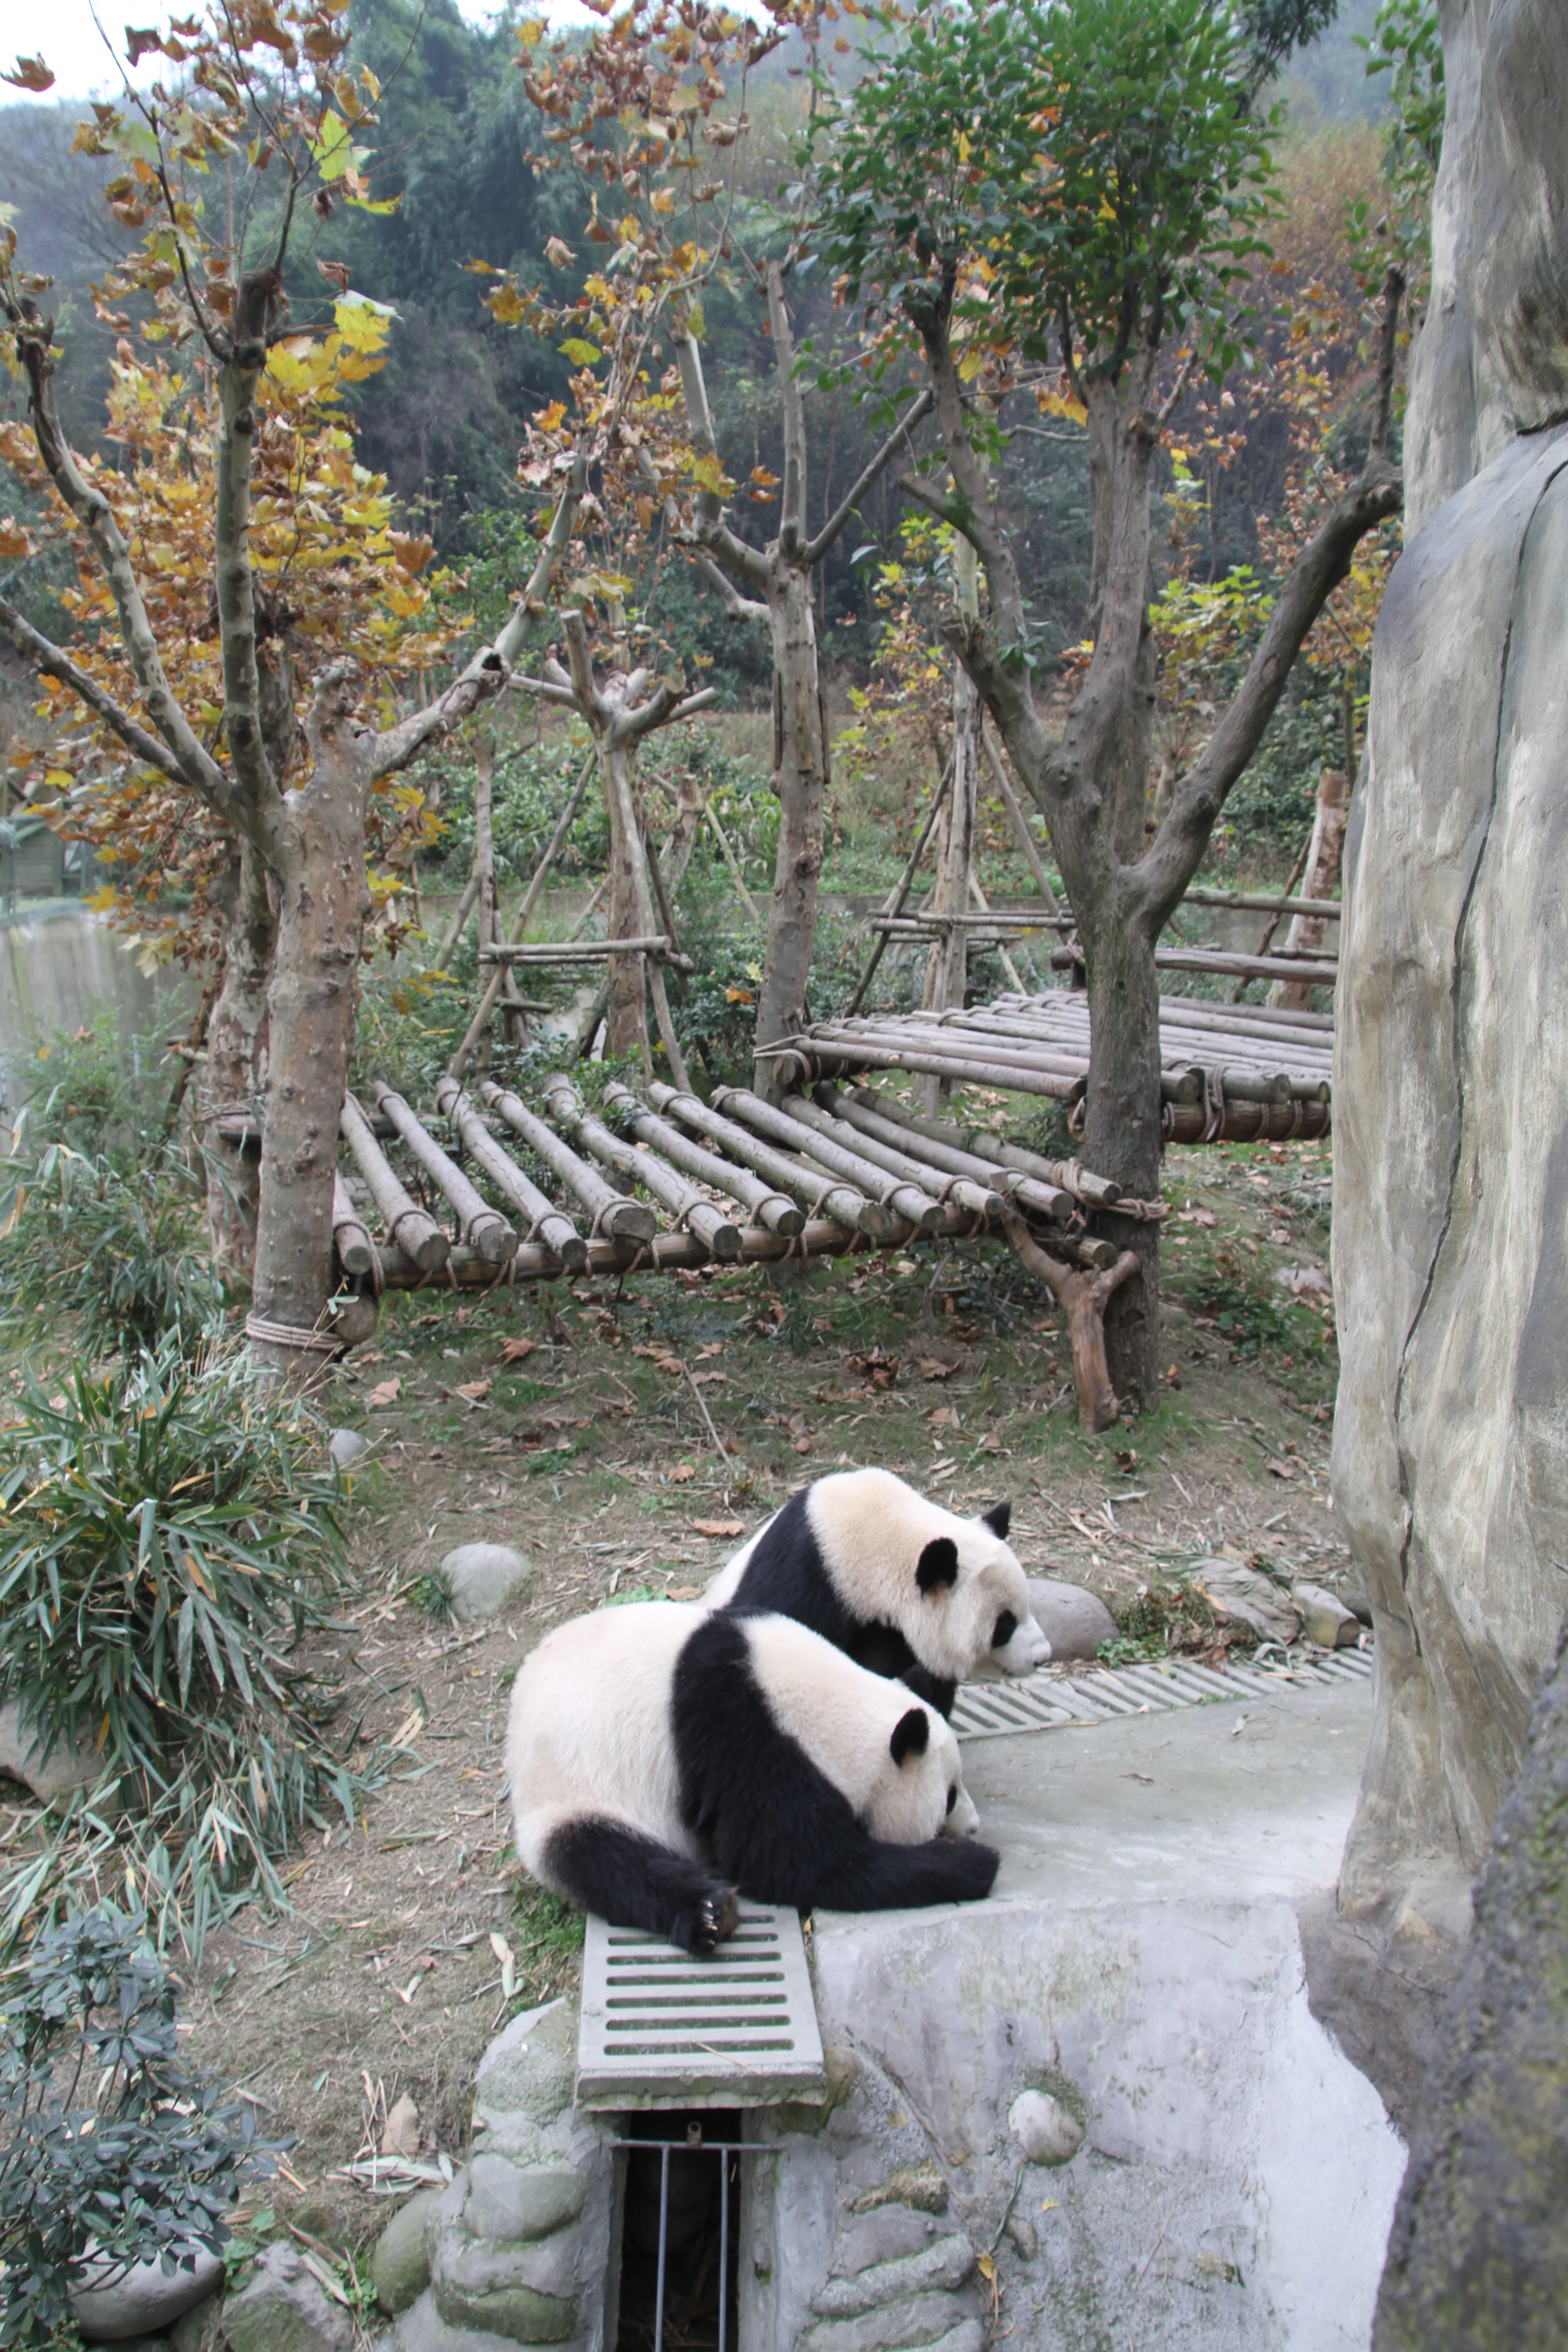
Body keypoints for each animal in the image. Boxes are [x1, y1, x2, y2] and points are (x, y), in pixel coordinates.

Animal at [506, 1600, 997, 1954]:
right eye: (949, 1797)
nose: (974, 1825)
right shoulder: (741, 1740)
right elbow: (799, 1863)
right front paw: (971, 1861)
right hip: (572, 1790)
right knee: (609, 1860)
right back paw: (707, 1913)